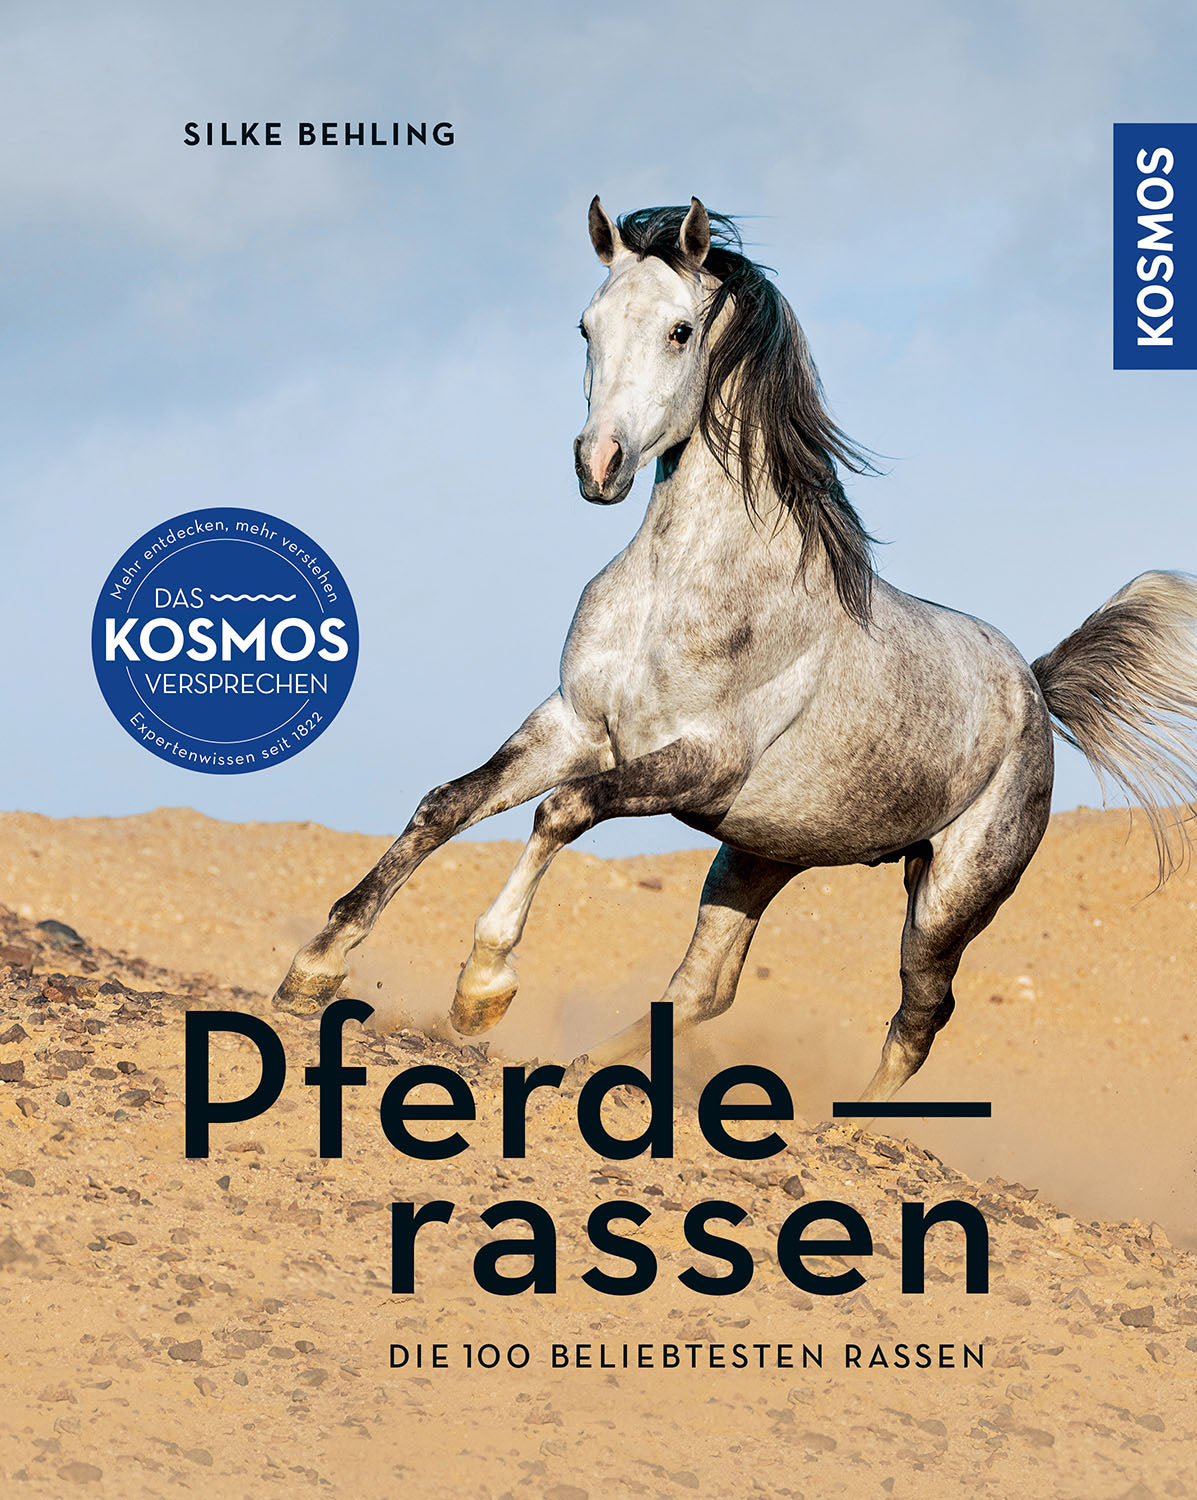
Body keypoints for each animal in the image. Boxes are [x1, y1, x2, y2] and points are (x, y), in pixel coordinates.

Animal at [273, 196, 1197, 1102]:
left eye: (679, 330)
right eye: (585, 325)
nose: (598, 463)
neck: (677, 589)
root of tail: (1032, 688)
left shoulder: (699, 762)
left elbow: (561, 811)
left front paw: (482, 990)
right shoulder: (574, 726)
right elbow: (448, 804)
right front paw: (313, 970)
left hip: (948, 894)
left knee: (920, 1012)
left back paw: (851, 1119)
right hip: (756, 853)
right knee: (705, 987)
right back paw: (593, 1070)